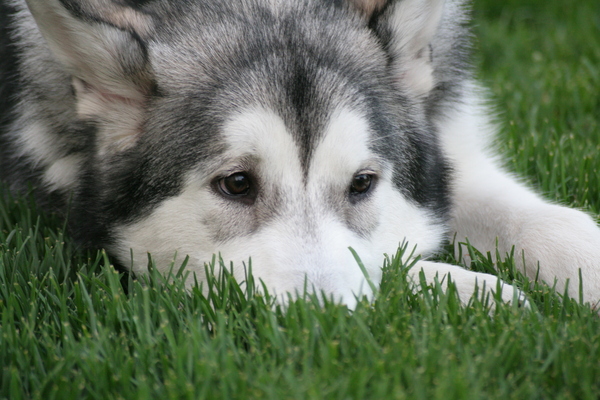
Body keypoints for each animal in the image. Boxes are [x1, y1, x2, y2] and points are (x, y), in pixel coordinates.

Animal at [1, 0, 600, 308]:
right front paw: (464, 288)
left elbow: (544, 221)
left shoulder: (455, 150)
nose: (325, 322)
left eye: (362, 183)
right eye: (237, 183)